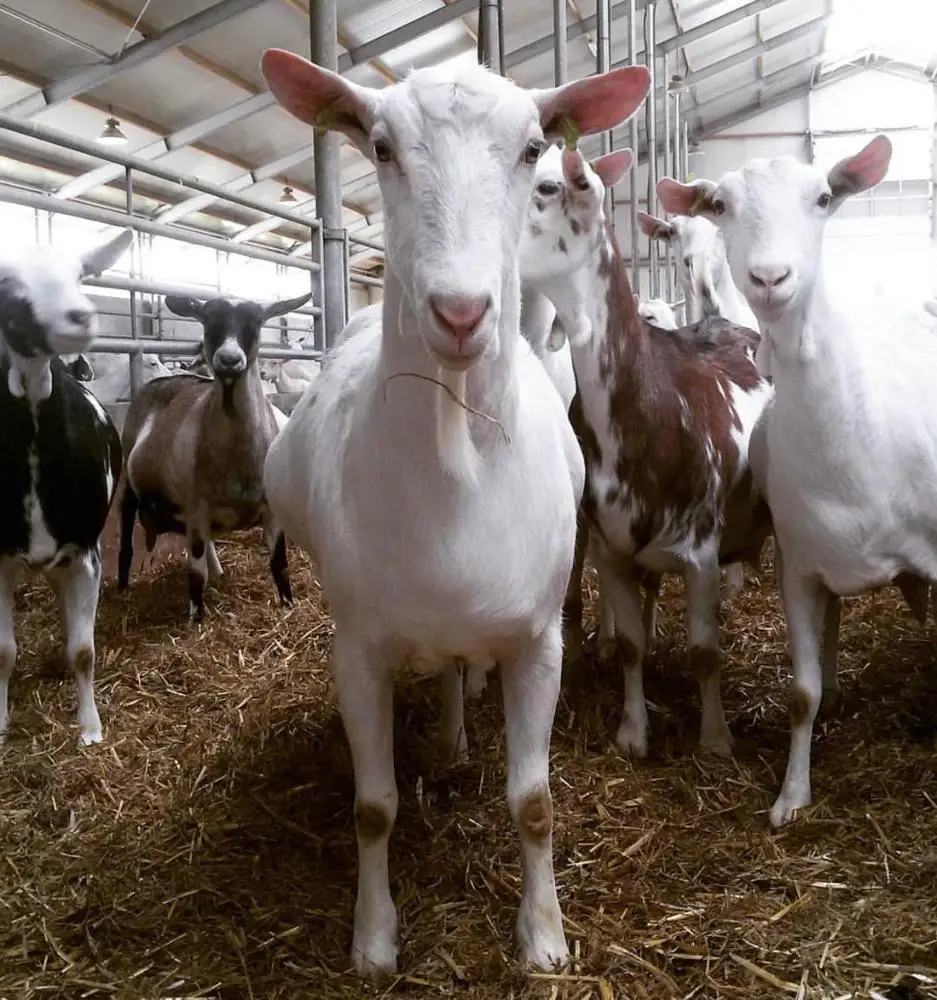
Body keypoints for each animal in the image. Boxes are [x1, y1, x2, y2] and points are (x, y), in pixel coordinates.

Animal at [0, 229, 131, 745]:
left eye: (80, 274)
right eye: (5, 281)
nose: (80, 316)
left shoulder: (85, 551)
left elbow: (83, 649)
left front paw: (90, 729)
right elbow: (3, 652)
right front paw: (0, 725)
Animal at [117, 291, 309, 620]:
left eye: (256, 321)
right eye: (208, 321)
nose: (229, 360)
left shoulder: (270, 510)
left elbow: (280, 565)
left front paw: (287, 605)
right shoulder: (195, 507)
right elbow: (196, 576)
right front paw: (196, 619)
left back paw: (218, 571)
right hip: (131, 480)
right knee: (127, 526)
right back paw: (121, 586)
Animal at [259, 47, 651, 977]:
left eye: (534, 149)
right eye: (379, 145)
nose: (461, 312)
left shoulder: (537, 638)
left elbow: (535, 801)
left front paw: (543, 938)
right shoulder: (358, 648)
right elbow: (371, 807)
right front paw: (372, 940)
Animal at [519, 144, 773, 760]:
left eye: (546, 186)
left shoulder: (701, 551)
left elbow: (704, 651)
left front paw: (715, 739)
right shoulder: (611, 549)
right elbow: (632, 644)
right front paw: (633, 733)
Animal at [657, 134, 936, 826]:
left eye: (824, 198)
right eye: (721, 205)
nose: (769, 278)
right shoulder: (799, 565)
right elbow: (800, 694)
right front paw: (791, 796)